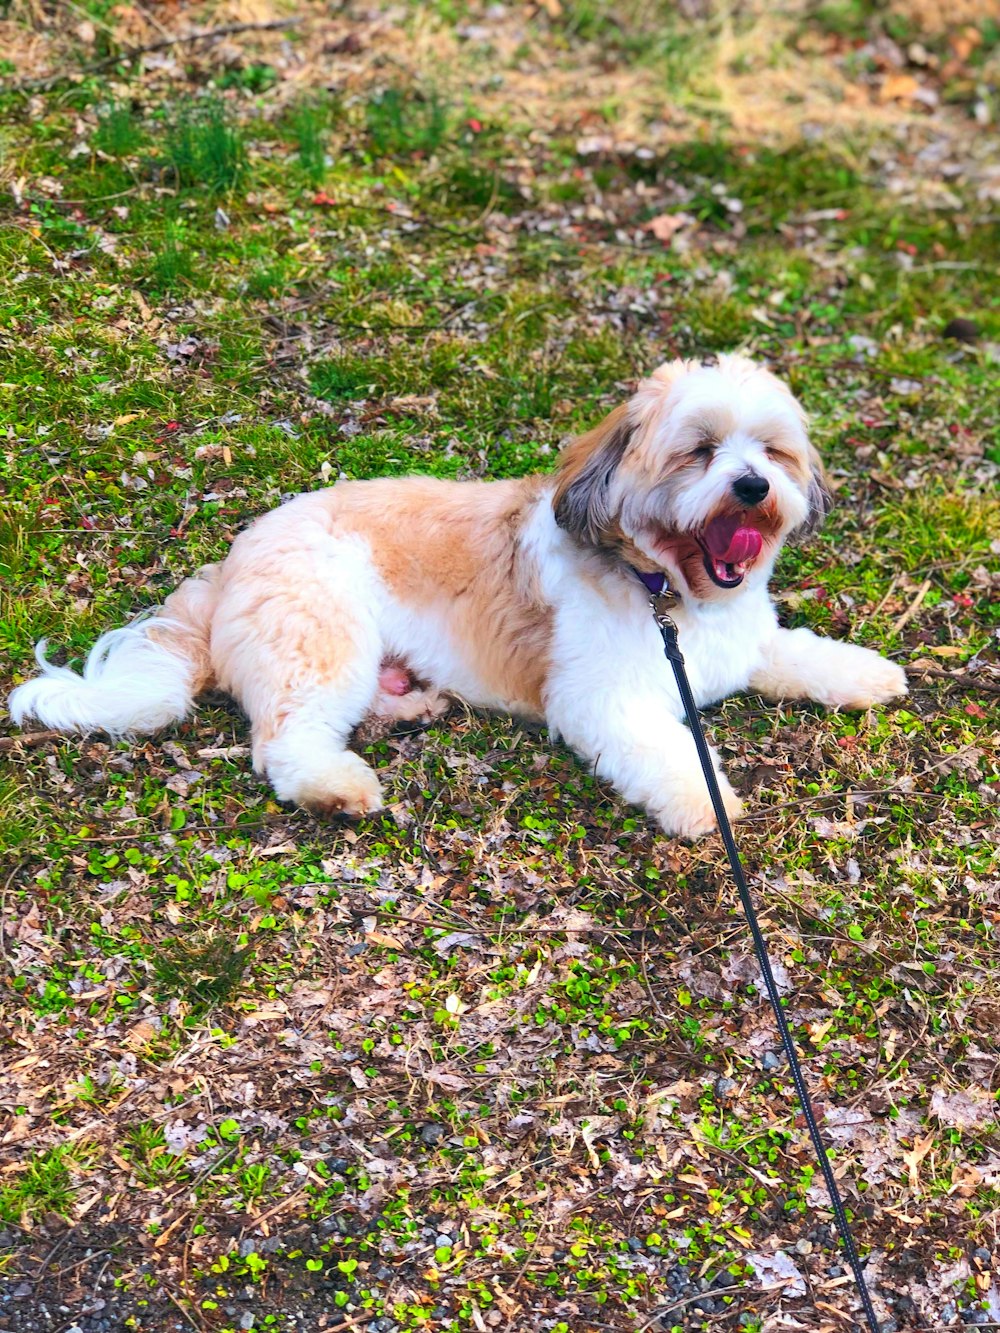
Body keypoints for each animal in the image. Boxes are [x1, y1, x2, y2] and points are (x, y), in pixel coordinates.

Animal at [5, 354, 906, 831]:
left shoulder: (745, 640)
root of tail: (230, 564)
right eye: (701, 451)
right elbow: (667, 749)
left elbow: (800, 652)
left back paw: (413, 704)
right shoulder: (603, 700)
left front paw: (866, 673)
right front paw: (703, 800)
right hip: (319, 633)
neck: (671, 595)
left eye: (772, 452)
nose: (753, 487)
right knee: (285, 742)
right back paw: (339, 785)